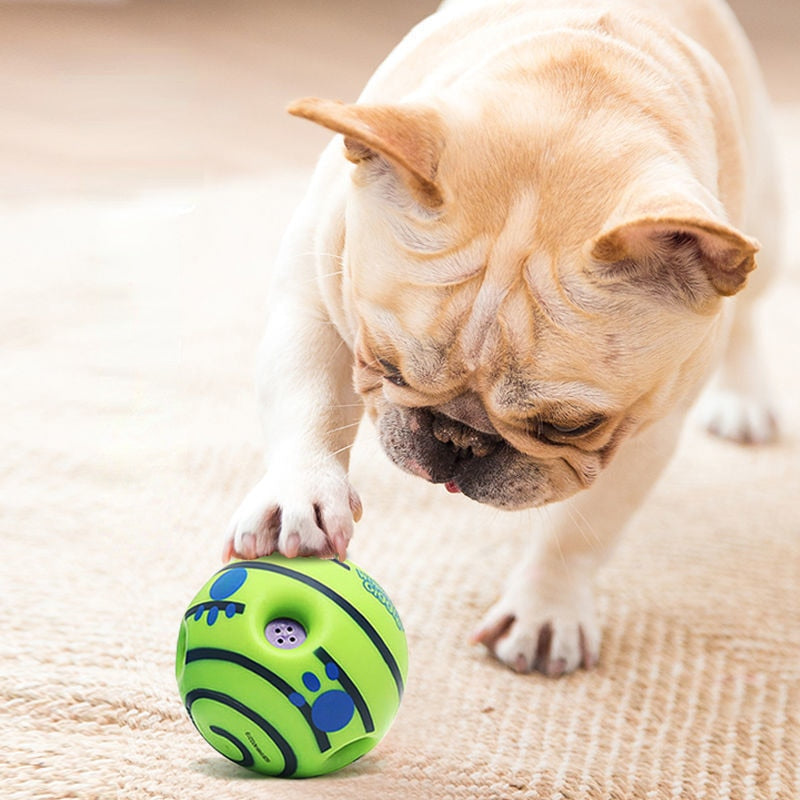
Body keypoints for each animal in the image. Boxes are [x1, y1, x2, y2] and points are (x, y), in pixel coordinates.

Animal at [223, 0, 780, 676]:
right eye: (385, 364)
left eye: (568, 426)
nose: (459, 439)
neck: (581, 89)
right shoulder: (317, 295)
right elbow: (311, 404)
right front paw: (300, 496)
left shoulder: (643, 433)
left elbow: (581, 528)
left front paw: (545, 611)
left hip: (763, 236)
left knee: (748, 312)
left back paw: (746, 400)